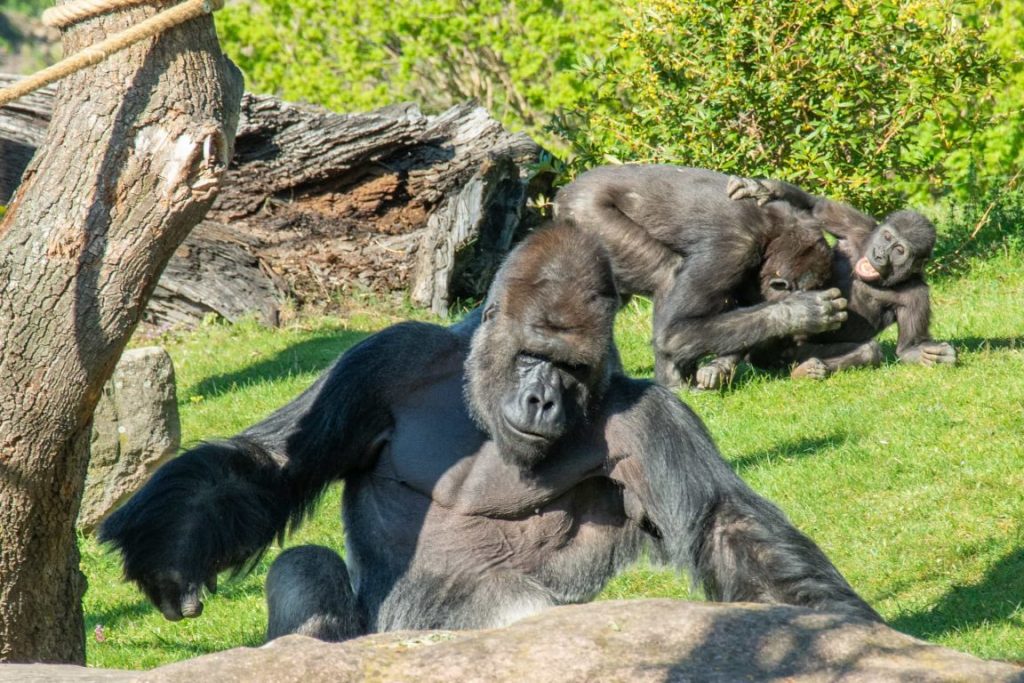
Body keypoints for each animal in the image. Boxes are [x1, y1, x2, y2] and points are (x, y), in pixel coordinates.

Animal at [101, 220, 880, 643]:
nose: (540, 399)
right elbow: (272, 462)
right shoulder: (384, 361)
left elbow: (725, 526)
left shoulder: (651, 420)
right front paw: (171, 548)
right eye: (534, 354)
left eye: (571, 367)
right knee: (304, 563)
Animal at [557, 164, 843, 387]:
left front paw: (719, 368)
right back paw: (674, 384)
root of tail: (564, 192)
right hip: (591, 215)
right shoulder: (733, 247)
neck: (774, 234)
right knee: (666, 275)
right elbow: (676, 331)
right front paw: (800, 312)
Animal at [724, 175, 954, 378]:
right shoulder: (859, 227)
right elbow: (817, 207)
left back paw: (808, 370)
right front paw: (762, 188)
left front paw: (931, 354)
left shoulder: (917, 295)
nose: (879, 254)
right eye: (887, 236)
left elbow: (908, 348)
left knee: (868, 351)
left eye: (899, 250)